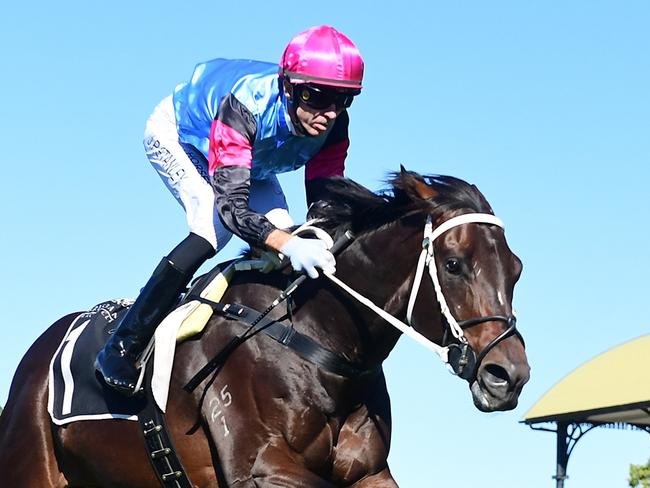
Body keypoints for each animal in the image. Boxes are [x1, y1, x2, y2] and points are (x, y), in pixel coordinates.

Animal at [0, 170, 528, 486]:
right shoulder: (261, 467)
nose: (509, 376)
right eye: (454, 264)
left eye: (517, 270)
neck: (317, 338)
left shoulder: (368, 471)